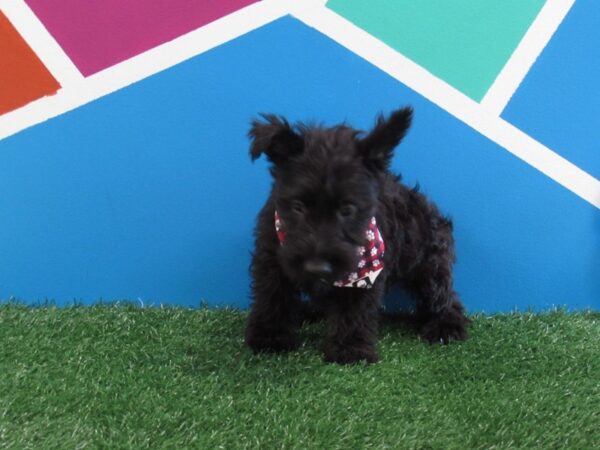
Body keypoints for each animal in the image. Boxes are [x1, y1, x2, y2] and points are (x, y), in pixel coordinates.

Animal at [244, 107, 468, 364]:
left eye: (347, 209)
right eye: (298, 206)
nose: (316, 268)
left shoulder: (366, 271)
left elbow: (354, 308)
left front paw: (350, 349)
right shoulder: (271, 258)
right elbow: (272, 297)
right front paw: (269, 337)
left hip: (429, 265)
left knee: (443, 297)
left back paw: (446, 327)